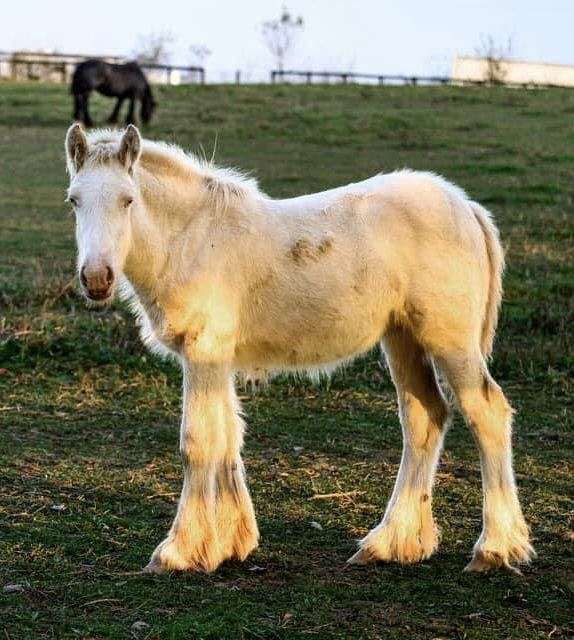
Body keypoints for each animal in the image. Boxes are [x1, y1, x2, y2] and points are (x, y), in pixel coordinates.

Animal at [65, 122, 536, 572]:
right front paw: (231, 542)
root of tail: (468, 207)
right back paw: (390, 543)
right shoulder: (218, 357)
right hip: (402, 338)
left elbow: (198, 441)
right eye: (74, 201)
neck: (192, 238)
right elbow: (228, 436)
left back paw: (494, 548)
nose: (97, 279)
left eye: (128, 200)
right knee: (424, 418)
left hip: (451, 341)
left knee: (487, 413)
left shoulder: (204, 351)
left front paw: (179, 551)